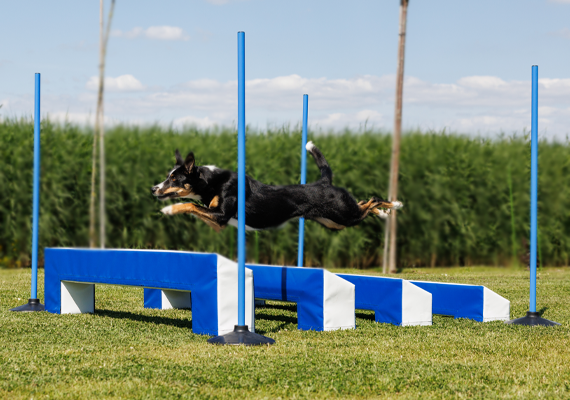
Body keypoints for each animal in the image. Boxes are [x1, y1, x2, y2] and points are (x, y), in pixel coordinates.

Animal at [150, 142, 400, 233]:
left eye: (174, 179)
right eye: (167, 177)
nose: (153, 188)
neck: (212, 182)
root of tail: (324, 182)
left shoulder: (221, 215)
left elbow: (190, 205)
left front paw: (169, 210)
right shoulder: (218, 221)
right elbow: (195, 207)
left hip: (344, 215)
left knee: (372, 200)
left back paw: (394, 205)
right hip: (335, 221)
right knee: (364, 203)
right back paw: (383, 212)